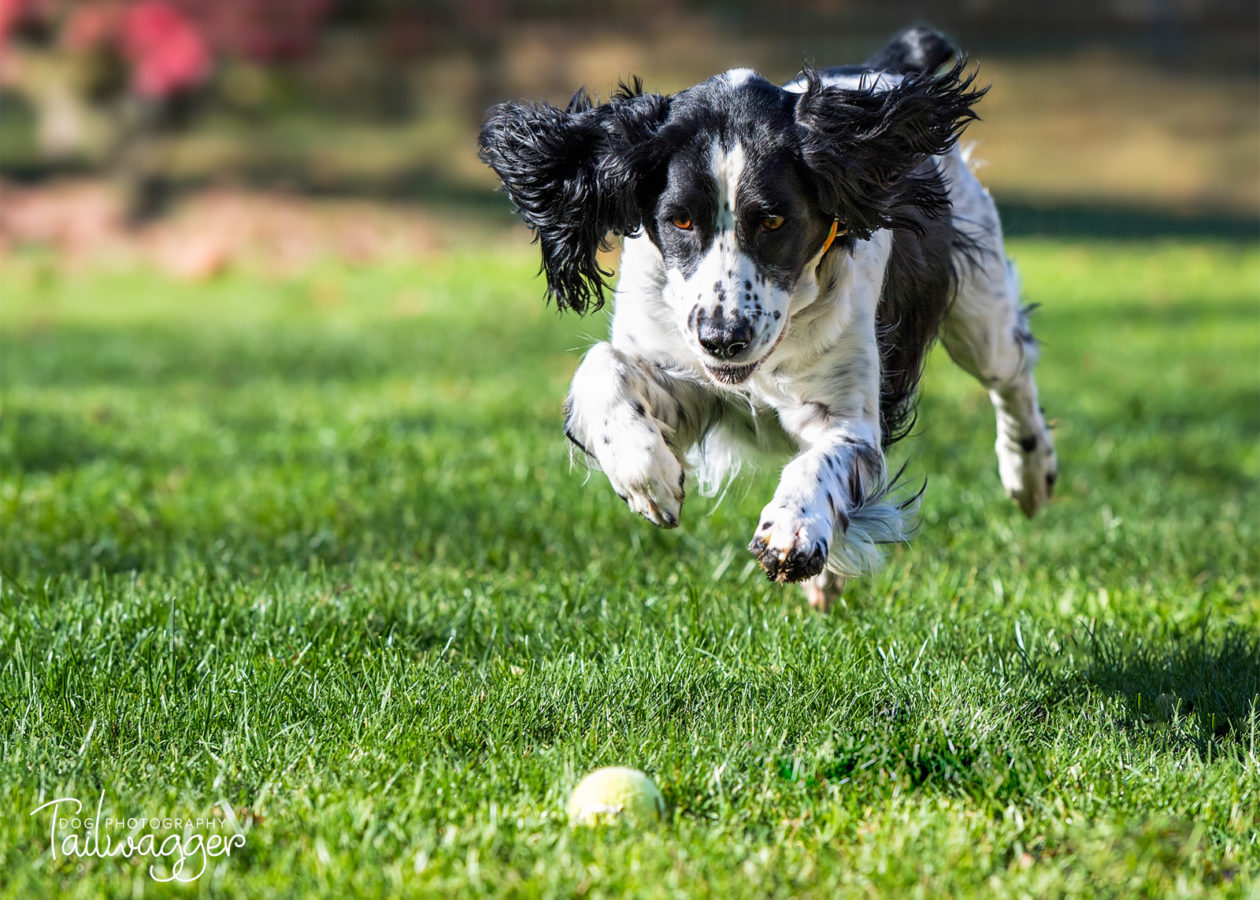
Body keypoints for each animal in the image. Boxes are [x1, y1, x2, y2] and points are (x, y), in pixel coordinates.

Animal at [476, 24, 1058, 607]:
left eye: (775, 220)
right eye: (679, 220)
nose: (722, 338)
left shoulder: (847, 419)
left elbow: (822, 460)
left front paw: (791, 531)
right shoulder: (689, 379)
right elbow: (604, 366)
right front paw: (647, 475)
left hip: (981, 316)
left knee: (1014, 373)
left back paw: (1029, 473)